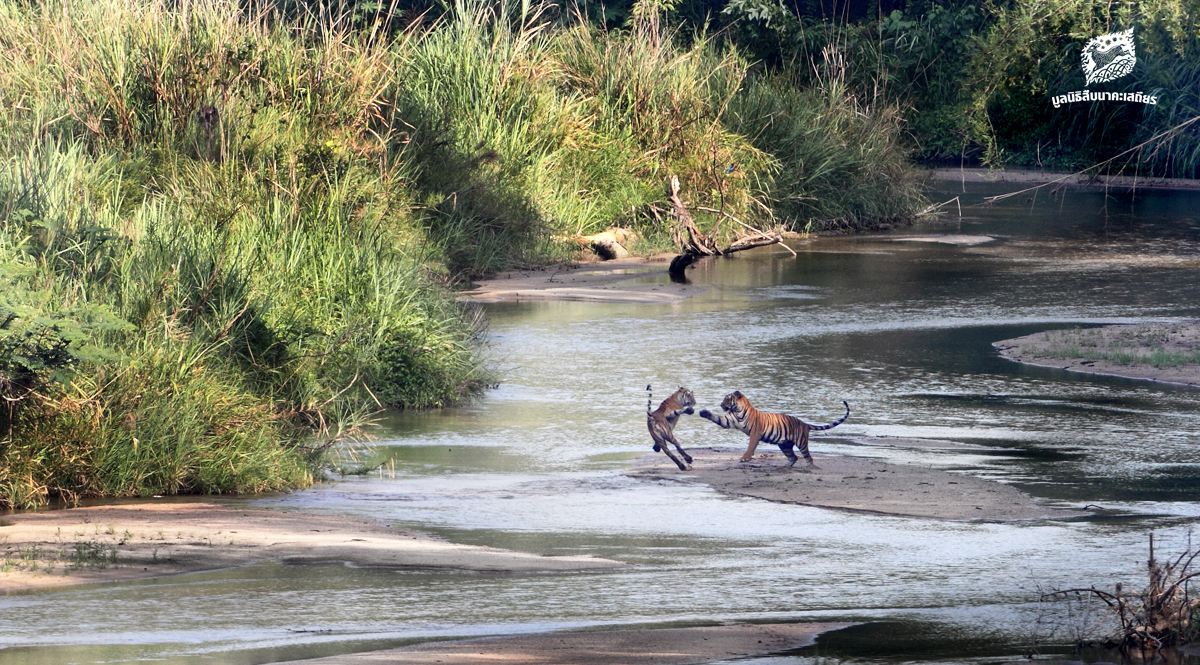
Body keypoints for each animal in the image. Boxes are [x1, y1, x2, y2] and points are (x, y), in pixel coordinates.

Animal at [700, 388, 849, 465]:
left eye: (727, 399)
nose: (721, 405)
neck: (737, 411)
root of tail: (804, 423)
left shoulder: (755, 433)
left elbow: (751, 446)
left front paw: (745, 457)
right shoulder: (729, 420)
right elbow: (718, 418)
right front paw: (704, 412)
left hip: (801, 443)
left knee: (808, 458)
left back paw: (810, 468)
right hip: (784, 445)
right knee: (793, 457)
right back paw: (786, 466)